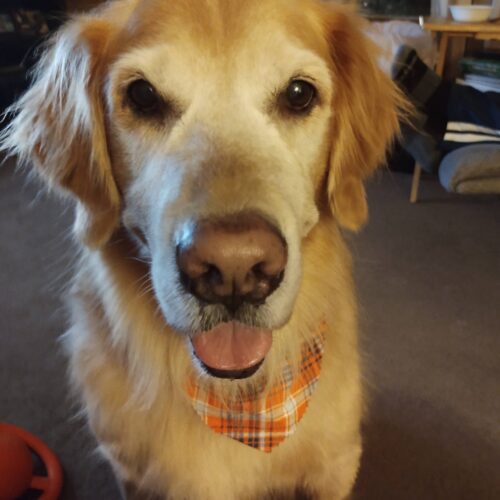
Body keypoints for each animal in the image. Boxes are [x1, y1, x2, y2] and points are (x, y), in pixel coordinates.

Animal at [0, 1, 402, 498]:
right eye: (143, 96)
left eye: (298, 94)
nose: (235, 269)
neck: (240, 407)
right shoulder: (131, 472)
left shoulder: (336, 467)